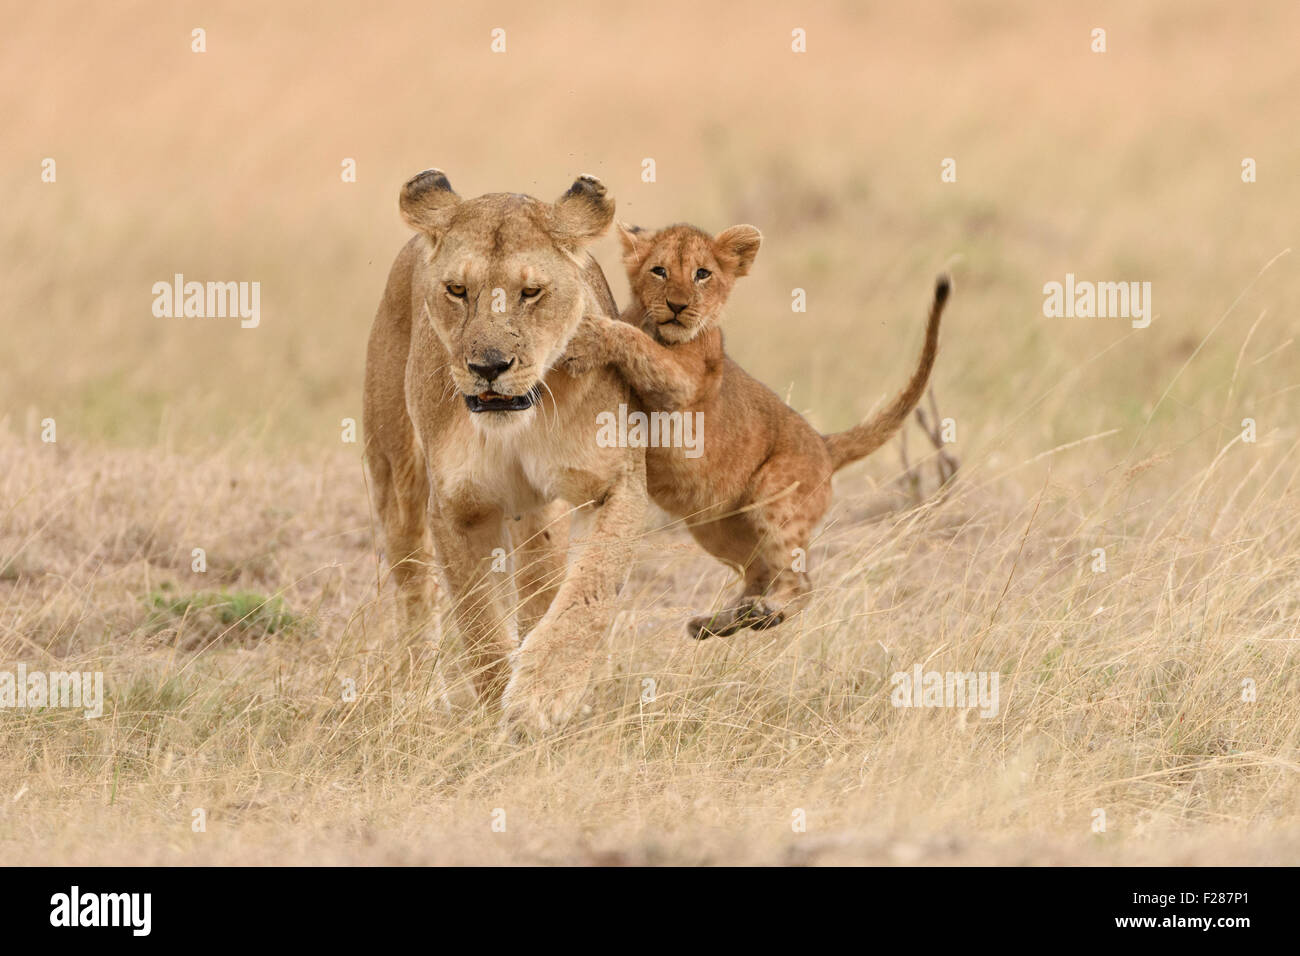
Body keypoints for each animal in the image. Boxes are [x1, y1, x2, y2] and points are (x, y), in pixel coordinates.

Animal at [362, 169, 647, 735]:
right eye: (457, 290)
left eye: (530, 292)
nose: (489, 367)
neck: (519, 423)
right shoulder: (454, 508)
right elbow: (478, 621)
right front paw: (500, 706)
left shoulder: (619, 481)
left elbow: (591, 585)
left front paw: (544, 694)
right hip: (395, 478)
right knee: (413, 587)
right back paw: (419, 699)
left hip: (542, 514)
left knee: (543, 582)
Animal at [565, 221, 950, 638]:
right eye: (659, 271)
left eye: (703, 274)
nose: (678, 306)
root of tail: (824, 444)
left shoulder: (686, 384)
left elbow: (635, 343)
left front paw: (589, 336)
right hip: (716, 528)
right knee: (760, 572)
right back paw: (721, 622)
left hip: (775, 499)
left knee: (801, 582)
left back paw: (768, 612)